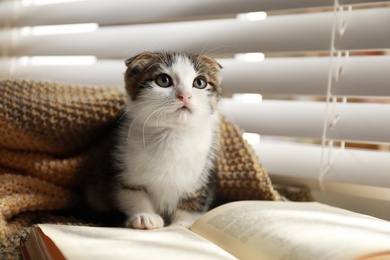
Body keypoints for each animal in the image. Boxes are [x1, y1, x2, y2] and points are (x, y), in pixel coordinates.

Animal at [87, 51, 224, 230]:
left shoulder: (202, 176)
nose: (185, 96)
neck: (173, 134)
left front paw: (182, 224)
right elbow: (131, 192)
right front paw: (145, 216)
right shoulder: (122, 164)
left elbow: (193, 200)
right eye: (163, 80)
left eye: (200, 82)